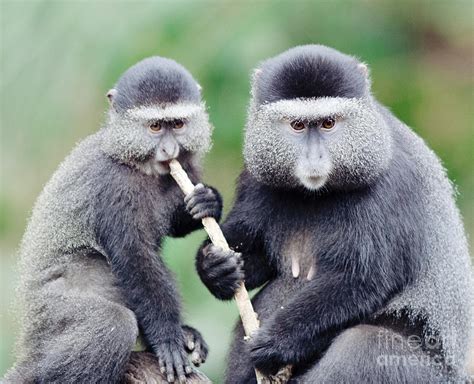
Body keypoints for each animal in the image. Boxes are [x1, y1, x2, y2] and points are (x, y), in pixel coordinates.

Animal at [4, 57, 222, 384]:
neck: (134, 162)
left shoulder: (187, 167)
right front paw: (167, 339)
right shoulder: (114, 187)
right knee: (114, 322)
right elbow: (134, 256)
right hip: (53, 313)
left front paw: (209, 201)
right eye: (155, 127)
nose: (169, 151)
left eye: (178, 124)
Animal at [194, 45, 472, 384]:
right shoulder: (256, 175)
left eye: (328, 123)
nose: (314, 157)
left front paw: (278, 341)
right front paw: (214, 267)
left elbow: (363, 280)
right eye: (298, 126)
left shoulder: (391, 187)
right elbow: (259, 261)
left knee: (363, 345)